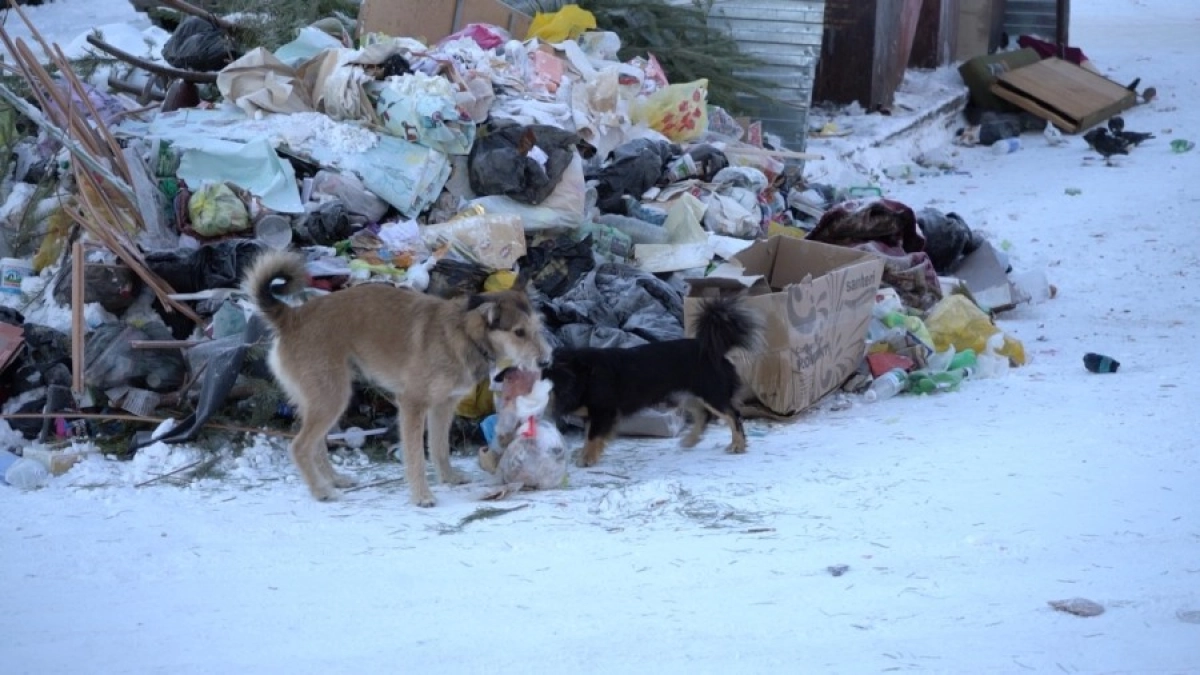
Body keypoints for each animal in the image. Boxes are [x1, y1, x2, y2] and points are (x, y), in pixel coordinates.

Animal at [243, 249, 552, 502]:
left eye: (536, 327)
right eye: (518, 333)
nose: (546, 360)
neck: (464, 334)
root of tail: (291, 317)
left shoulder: (443, 406)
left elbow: (439, 448)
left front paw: (449, 478)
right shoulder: (412, 404)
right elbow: (416, 457)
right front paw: (422, 496)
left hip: (323, 399)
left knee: (316, 445)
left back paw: (335, 480)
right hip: (332, 397)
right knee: (299, 447)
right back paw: (321, 491)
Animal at [542, 295, 758, 468]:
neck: (583, 373)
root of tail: (712, 350)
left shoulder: (603, 411)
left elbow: (593, 435)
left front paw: (586, 459)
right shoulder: (596, 415)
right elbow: (591, 435)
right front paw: (588, 454)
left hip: (712, 394)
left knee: (733, 415)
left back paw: (738, 444)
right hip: (684, 395)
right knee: (703, 415)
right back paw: (690, 440)